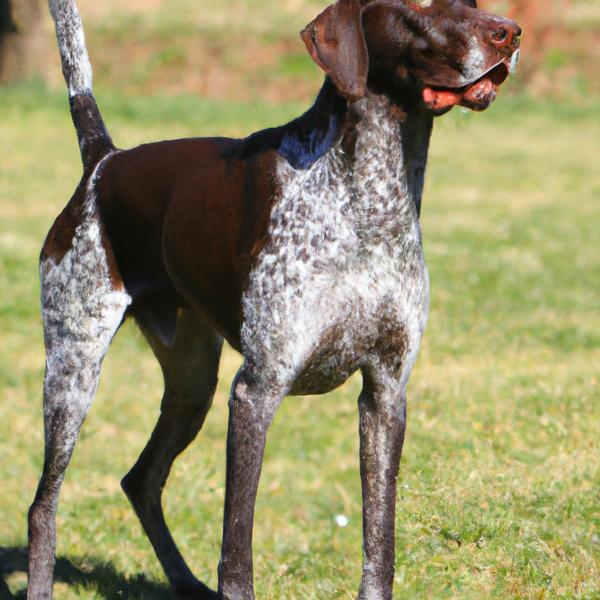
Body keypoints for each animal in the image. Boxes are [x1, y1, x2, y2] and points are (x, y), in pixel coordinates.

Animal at [29, 1, 520, 600]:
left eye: (473, 3)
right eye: (419, 4)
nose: (510, 33)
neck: (369, 203)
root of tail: (104, 162)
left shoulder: (385, 394)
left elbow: (379, 542)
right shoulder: (256, 393)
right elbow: (237, 552)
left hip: (192, 385)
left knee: (140, 479)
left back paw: (185, 582)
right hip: (73, 369)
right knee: (43, 506)